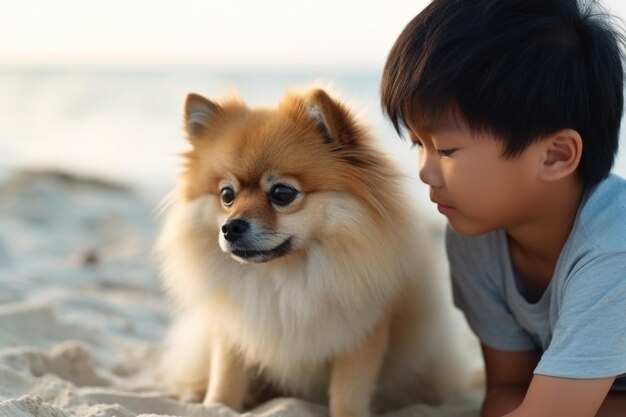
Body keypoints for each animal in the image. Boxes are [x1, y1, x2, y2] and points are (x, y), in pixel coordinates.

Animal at [156, 88, 472, 416]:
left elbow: (348, 392)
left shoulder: (362, 333)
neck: (284, 278)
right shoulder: (235, 328)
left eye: (282, 193)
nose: (230, 227)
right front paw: (217, 406)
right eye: (227, 195)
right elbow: (226, 379)